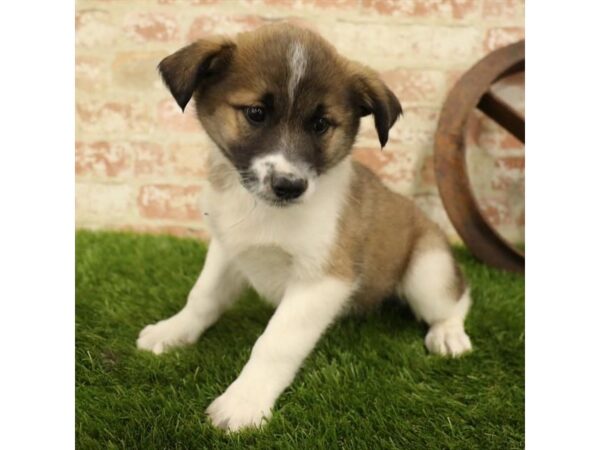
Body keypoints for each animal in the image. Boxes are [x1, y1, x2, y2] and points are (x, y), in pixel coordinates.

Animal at [138, 23, 472, 432]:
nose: (289, 185)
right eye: (256, 113)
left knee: (456, 297)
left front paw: (244, 402)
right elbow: (201, 297)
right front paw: (173, 331)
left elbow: (275, 343)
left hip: (426, 271)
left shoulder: (322, 280)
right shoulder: (228, 249)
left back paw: (449, 334)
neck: (263, 211)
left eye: (320, 124)